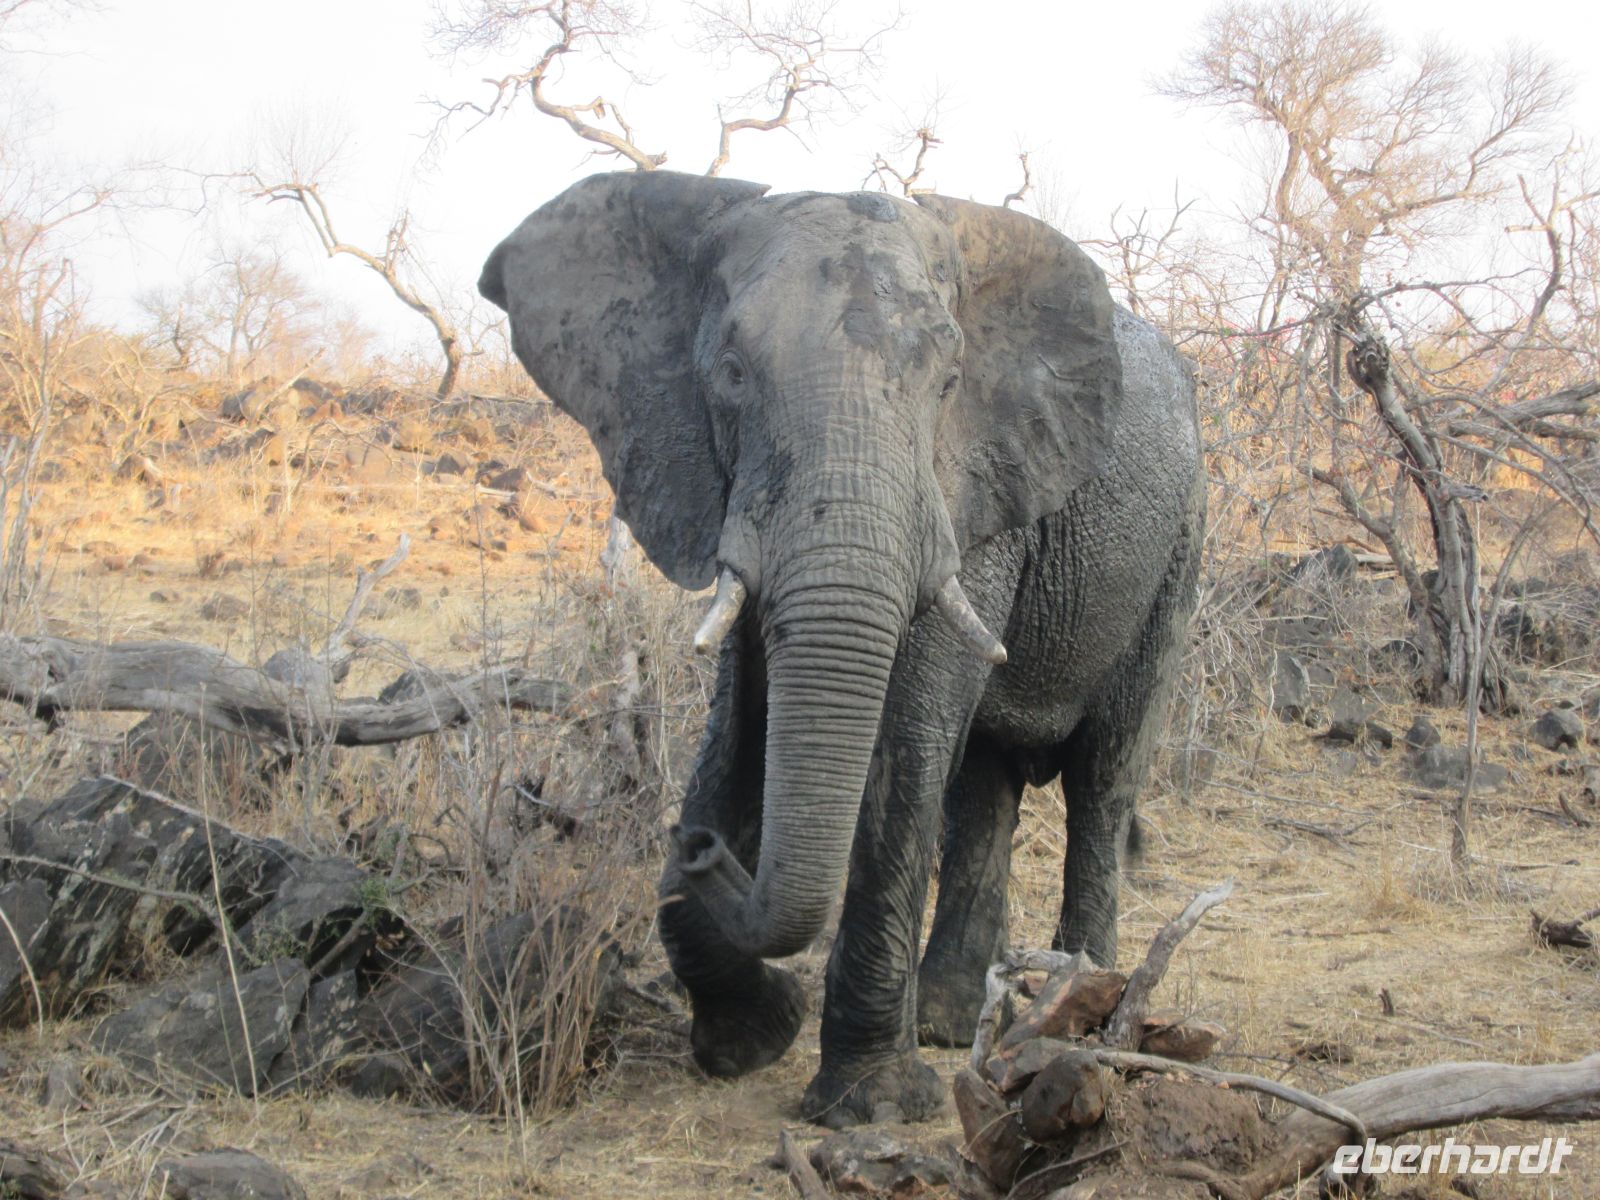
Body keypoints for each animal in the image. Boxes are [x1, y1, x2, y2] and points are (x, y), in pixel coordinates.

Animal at [479, 170, 1203, 1127]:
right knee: (986, 785)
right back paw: (948, 1020)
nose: (698, 849)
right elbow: (740, 728)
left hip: (1178, 547)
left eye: (948, 382)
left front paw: (872, 1106)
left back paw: (1081, 1019)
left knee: (1103, 776)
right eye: (730, 376)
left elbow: (909, 740)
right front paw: (753, 1037)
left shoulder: (970, 491)